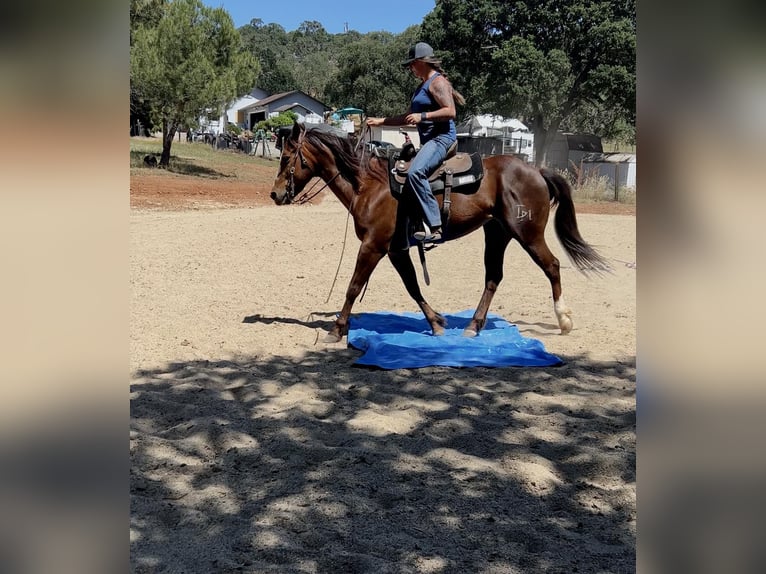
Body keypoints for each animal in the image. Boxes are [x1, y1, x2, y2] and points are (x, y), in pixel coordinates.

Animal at [268, 122, 608, 344]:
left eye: (286, 158)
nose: (275, 194)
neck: (369, 184)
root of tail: (536, 170)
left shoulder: (373, 246)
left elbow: (353, 287)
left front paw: (337, 329)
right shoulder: (396, 249)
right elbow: (413, 286)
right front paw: (437, 322)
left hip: (528, 234)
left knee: (552, 266)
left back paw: (564, 320)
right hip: (497, 234)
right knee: (493, 278)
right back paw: (473, 325)